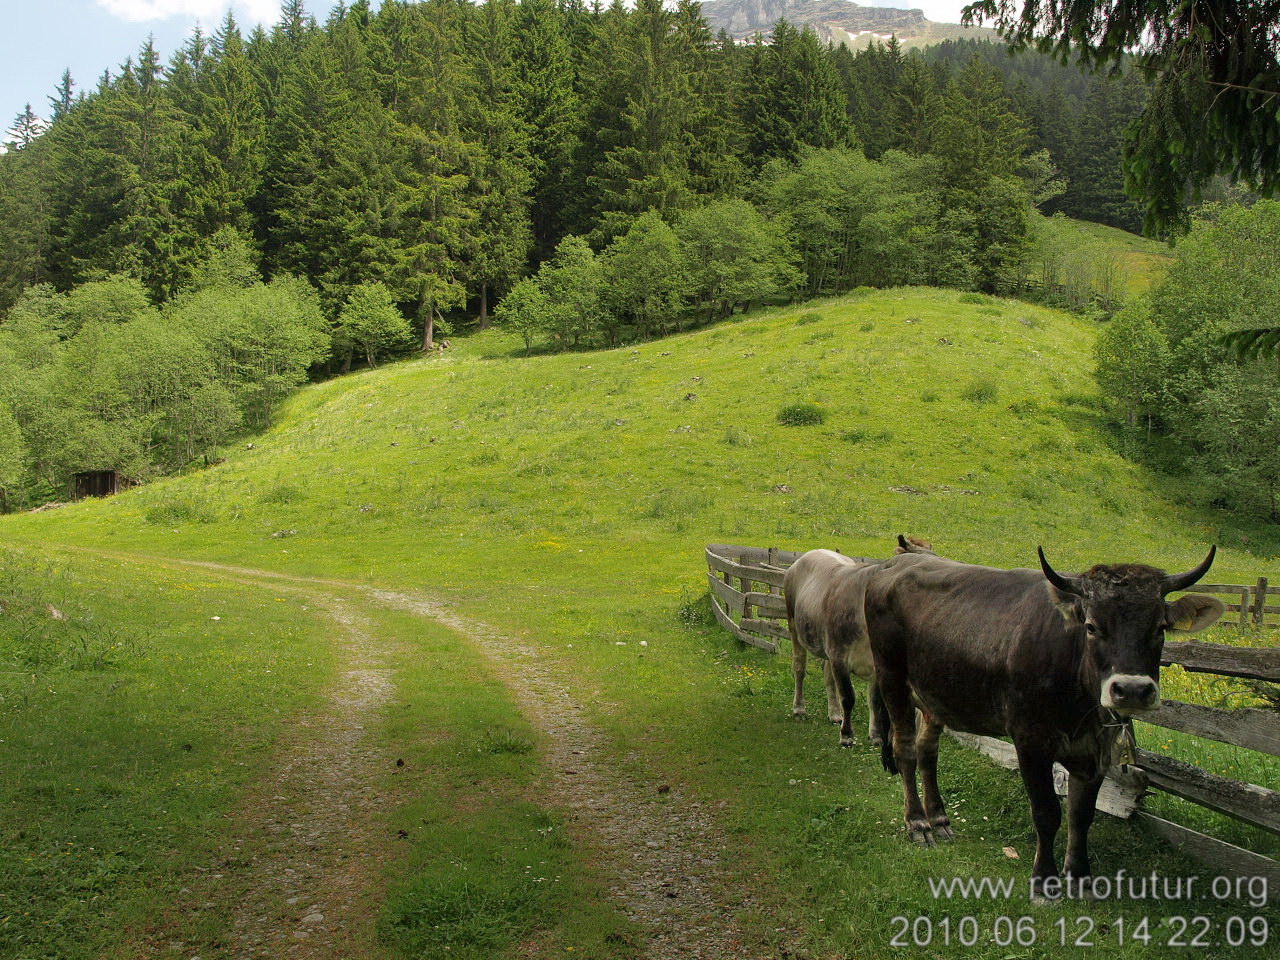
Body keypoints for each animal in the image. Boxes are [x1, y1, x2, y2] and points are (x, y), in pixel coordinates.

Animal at [783, 535, 936, 752]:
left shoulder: (874, 662)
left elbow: (874, 699)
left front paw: (875, 736)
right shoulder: (840, 656)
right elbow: (848, 696)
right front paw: (847, 737)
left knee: (828, 677)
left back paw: (834, 713)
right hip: (795, 627)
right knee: (799, 668)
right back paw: (799, 708)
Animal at [865, 547, 1223, 901]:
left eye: (1160, 627)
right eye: (1091, 626)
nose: (1132, 689)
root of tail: (894, 563)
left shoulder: (1096, 751)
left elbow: (1082, 815)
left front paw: (1079, 876)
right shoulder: (1031, 741)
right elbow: (1047, 812)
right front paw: (1044, 879)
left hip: (935, 696)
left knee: (928, 752)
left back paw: (938, 818)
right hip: (892, 679)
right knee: (906, 751)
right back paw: (918, 824)